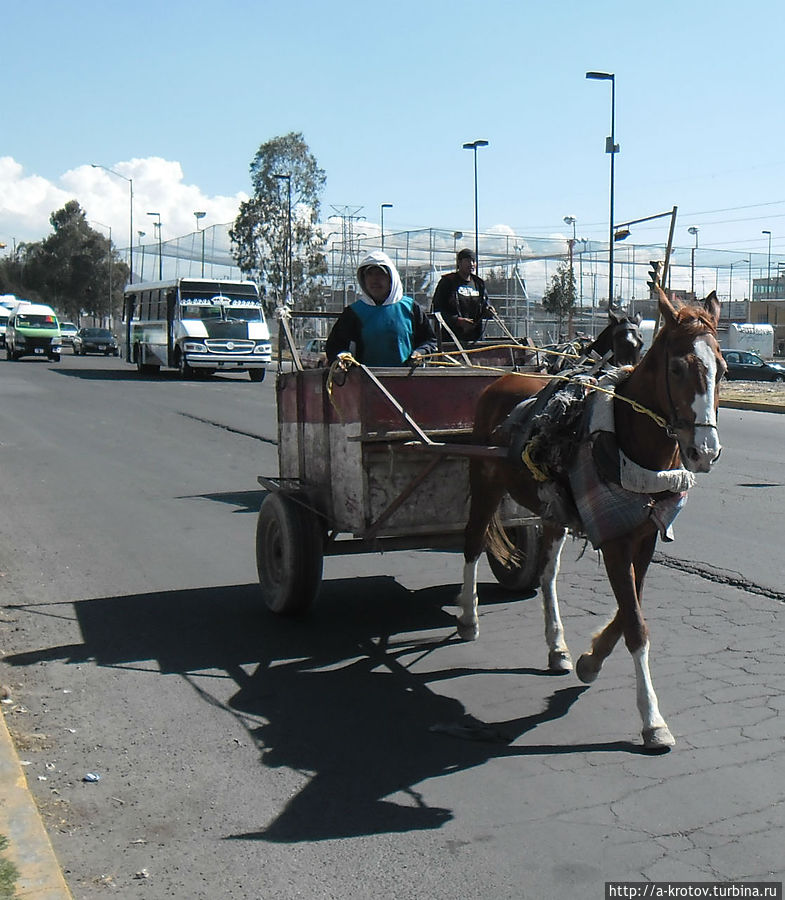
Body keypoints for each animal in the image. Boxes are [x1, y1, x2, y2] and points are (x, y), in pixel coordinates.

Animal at [460, 282, 724, 752]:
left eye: (724, 370)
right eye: (677, 368)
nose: (704, 452)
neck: (627, 442)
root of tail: (500, 380)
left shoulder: (646, 536)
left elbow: (630, 607)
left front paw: (590, 660)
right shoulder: (614, 540)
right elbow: (635, 623)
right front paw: (652, 719)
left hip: (551, 507)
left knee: (546, 574)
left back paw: (557, 648)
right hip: (485, 485)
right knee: (472, 543)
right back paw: (468, 619)